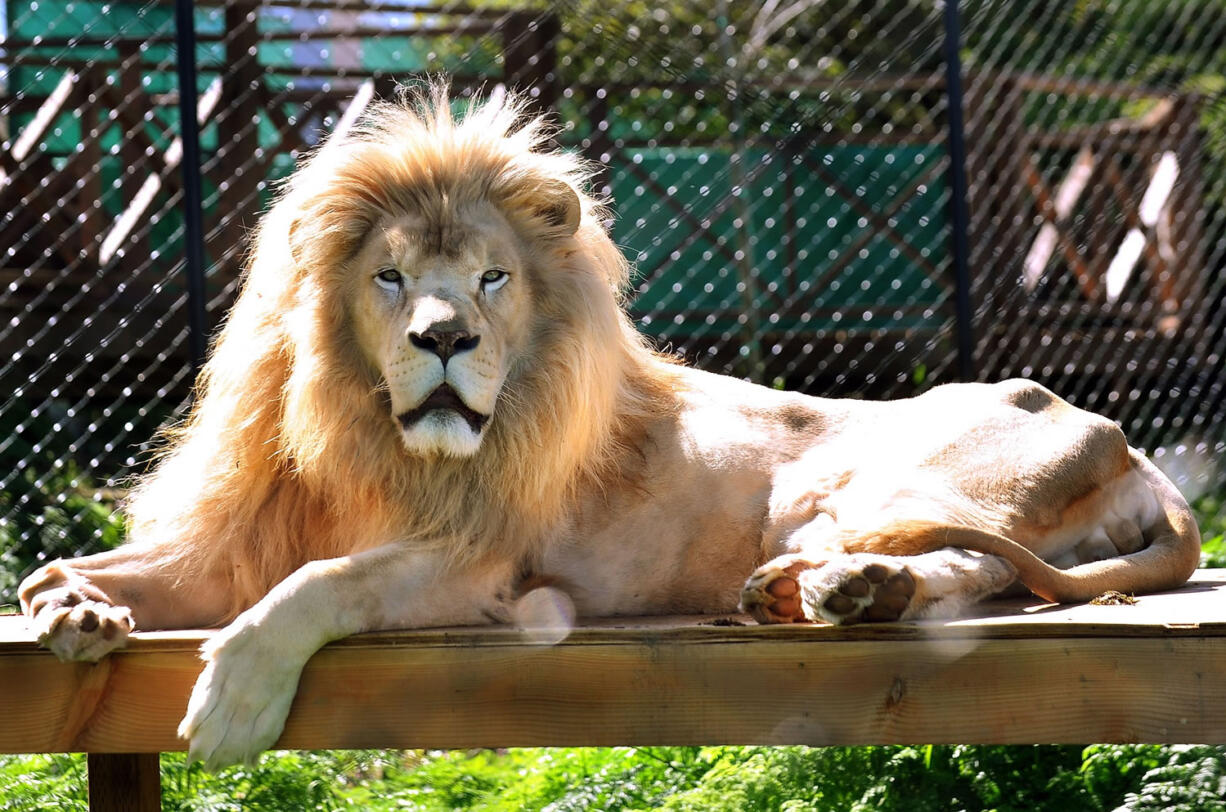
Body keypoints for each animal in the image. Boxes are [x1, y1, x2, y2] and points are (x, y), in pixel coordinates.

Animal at [19, 87, 1201, 770]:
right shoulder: (243, 540)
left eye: (492, 277)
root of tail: (1124, 436)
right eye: (390, 277)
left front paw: (230, 701)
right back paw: (811, 592)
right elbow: (99, 568)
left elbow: (320, 585)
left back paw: (845, 591)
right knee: (978, 569)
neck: (368, 434)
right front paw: (76, 604)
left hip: (871, 477)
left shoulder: (484, 562)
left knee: (973, 560)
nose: (443, 338)